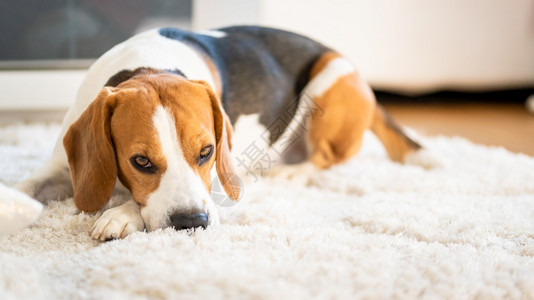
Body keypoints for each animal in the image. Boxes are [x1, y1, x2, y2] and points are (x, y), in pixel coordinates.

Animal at [15, 25, 428, 241]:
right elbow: (26, 185)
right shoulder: (61, 166)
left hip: (328, 79)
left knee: (328, 157)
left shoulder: (220, 175)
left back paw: (294, 172)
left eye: (206, 153)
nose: (192, 223)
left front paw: (122, 214)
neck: (150, 66)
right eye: (141, 161)